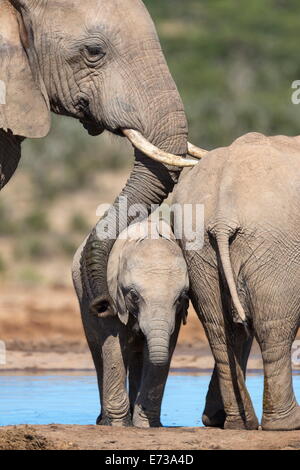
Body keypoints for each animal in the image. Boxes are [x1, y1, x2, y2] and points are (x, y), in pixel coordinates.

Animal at [72, 218, 188, 428]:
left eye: (181, 298)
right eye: (134, 296)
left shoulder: (176, 315)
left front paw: (146, 424)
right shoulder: (112, 296)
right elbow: (114, 347)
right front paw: (119, 424)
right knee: (98, 353)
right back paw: (102, 421)